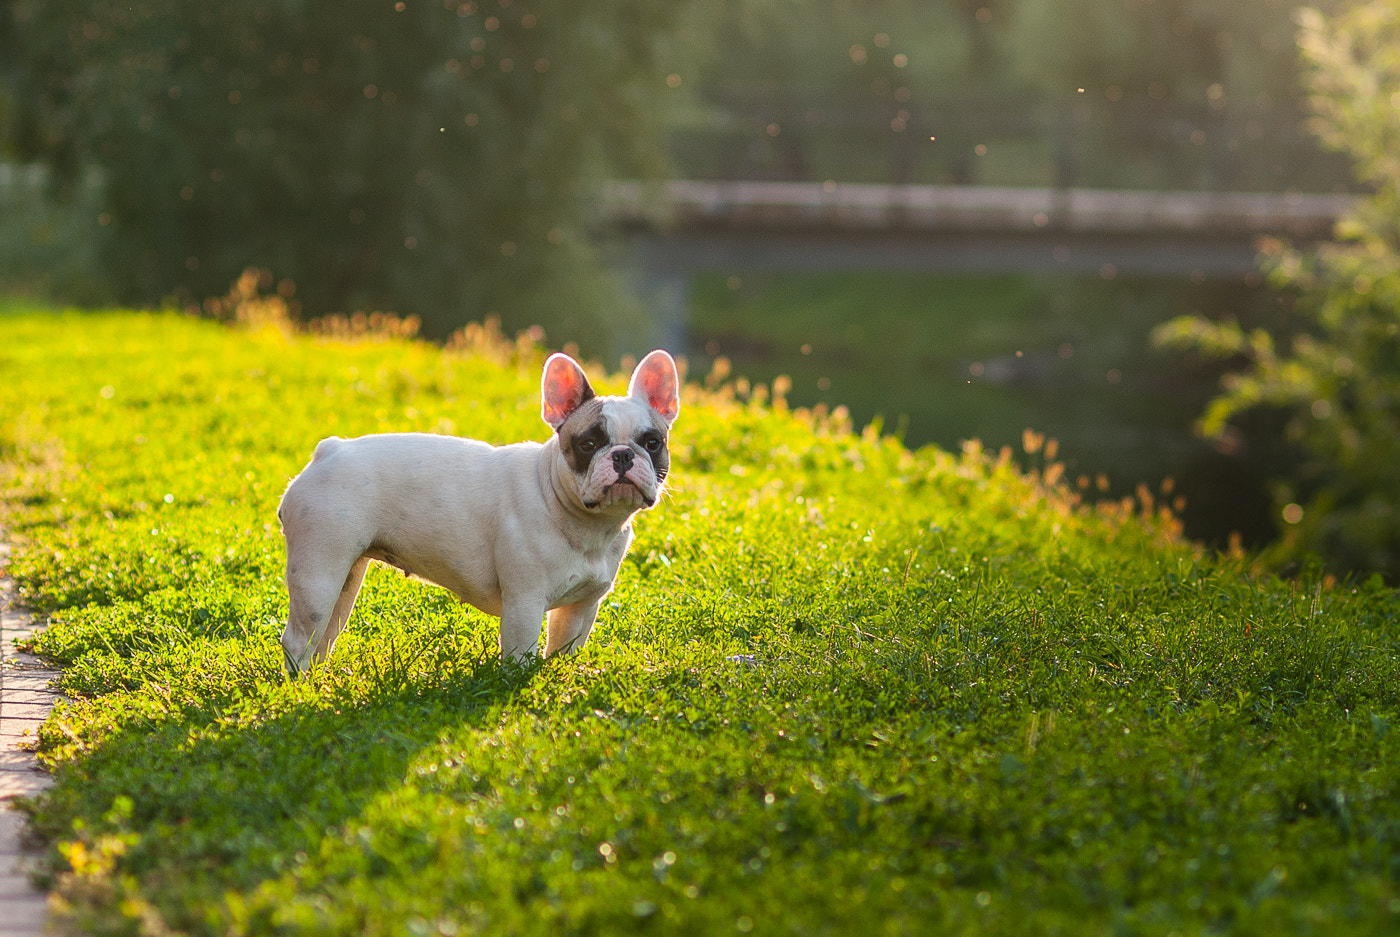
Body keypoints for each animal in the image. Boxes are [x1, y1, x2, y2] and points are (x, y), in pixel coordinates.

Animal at [275, 348, 680, 672]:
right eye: (588, 444)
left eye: (652, 443)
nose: (623, 455)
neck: (581, 520)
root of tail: (328, 450)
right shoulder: (524, 603)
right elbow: (520, 657)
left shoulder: (581, 607)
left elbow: (563, 651)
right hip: (318, 573)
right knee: (298, 638)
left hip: (345, 578)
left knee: (324, 636)